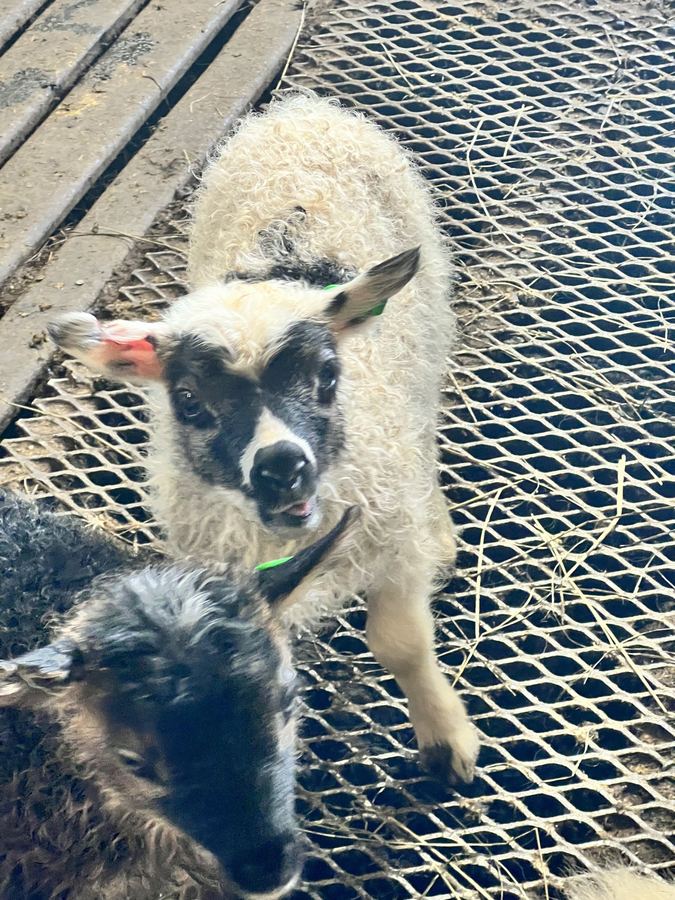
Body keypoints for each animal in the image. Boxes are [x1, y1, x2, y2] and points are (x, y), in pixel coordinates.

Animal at [49, 93, 479, 785]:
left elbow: (402, 645)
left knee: (424, 431)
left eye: (328, 376)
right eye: (188, 402)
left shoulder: (389, 538)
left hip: (426, 343)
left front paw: (445, 740)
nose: (282, 468)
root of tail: (299, 111)